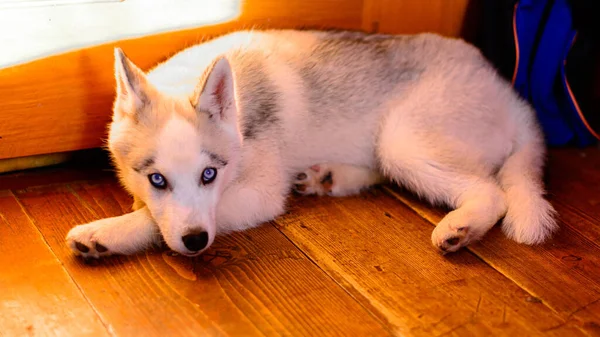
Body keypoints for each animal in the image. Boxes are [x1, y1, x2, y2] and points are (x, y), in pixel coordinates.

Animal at [65, 29, 556, 258]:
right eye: (157, 179)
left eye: (209, 174)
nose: (196, 243)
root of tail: (513, 97)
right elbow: (152, 211)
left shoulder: (258, 195)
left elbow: (155, 221)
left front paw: (105, 233)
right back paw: (331, 177)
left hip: (404, 138)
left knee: (491, 192)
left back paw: (462, 228)